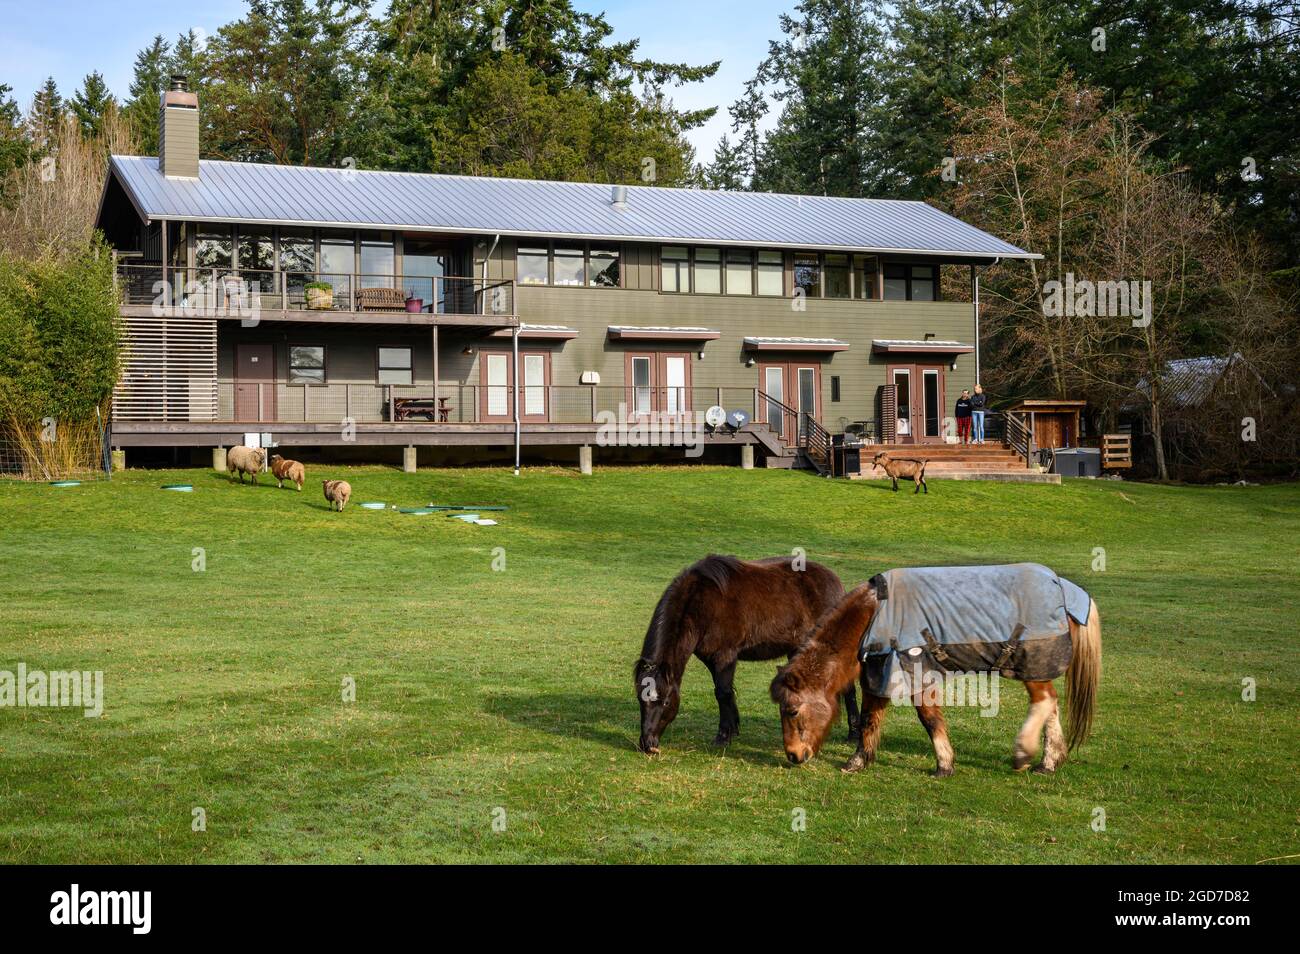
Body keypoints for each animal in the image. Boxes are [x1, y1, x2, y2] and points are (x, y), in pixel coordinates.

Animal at [634, 561, 857, 753]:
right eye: (640, 700)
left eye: (665, 702)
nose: (647, 743)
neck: (700, 602)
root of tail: (836, 583)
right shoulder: (711, 659)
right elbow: (725, 693)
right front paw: (733, 729)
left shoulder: (724, 656)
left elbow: (722, 693)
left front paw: (723, 737)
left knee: (848, 689)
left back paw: (852, 734)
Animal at [774, 566, 1102, 779]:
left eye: (792, 711)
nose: (793, 755)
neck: (874, 615)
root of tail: (1062, 586)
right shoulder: (880, 672)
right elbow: (870, 718)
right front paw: (858, 761)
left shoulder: (915, 673)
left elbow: (929, 720)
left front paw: (944, 765)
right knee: (1051, 705)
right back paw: (1049, 761)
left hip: (1028, 664)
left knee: (1045, 701)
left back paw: (1024, 753)